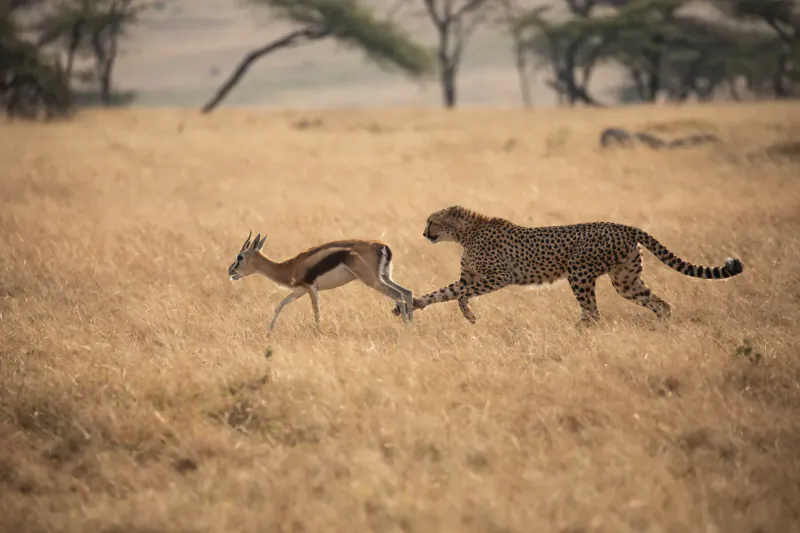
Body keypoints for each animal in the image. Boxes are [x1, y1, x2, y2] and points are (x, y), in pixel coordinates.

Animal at [227, 231, 414, 331]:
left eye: (240, 257)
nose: (230, 271)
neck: (290, 266)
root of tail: (382, 245)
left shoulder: (311, 288)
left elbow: (316, 311)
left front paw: (318, 332)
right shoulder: (299, 291)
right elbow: (280, 305)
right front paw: (269, 331)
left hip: (372, 280)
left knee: (398, 295)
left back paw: (406, 328)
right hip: (384, 277)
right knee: (407, 292)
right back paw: (412, 325)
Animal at [392, 205, 744, 327]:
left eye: (432, 221)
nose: (424, 233)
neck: (466, 232)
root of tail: (624, 225)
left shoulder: (500, 276)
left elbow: (462, 294)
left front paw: (469, 314)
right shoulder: (473, 276)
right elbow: (443, 292)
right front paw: (410, 304)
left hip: (580, 271)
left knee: (593, 312)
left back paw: (578, 330)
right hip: (626, 280)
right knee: (660, 303)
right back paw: (662, 328)